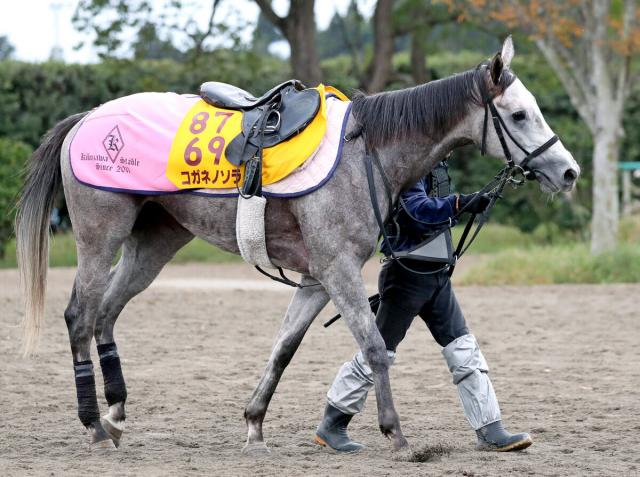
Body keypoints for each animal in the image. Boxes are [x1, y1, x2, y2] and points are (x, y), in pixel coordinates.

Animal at [16, 38, 580, 454]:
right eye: (520, 115)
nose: (569, 171)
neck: (364, 152)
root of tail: (87, 118)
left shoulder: (315, 280)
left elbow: (284, 348)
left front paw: (254, 424)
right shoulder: (338, 271)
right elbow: (374, 346)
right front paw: (396, 434)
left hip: (152, 244)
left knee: (107, 313)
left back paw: (115, 413)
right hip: (99, 238)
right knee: (80, 316)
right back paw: (94, 424)